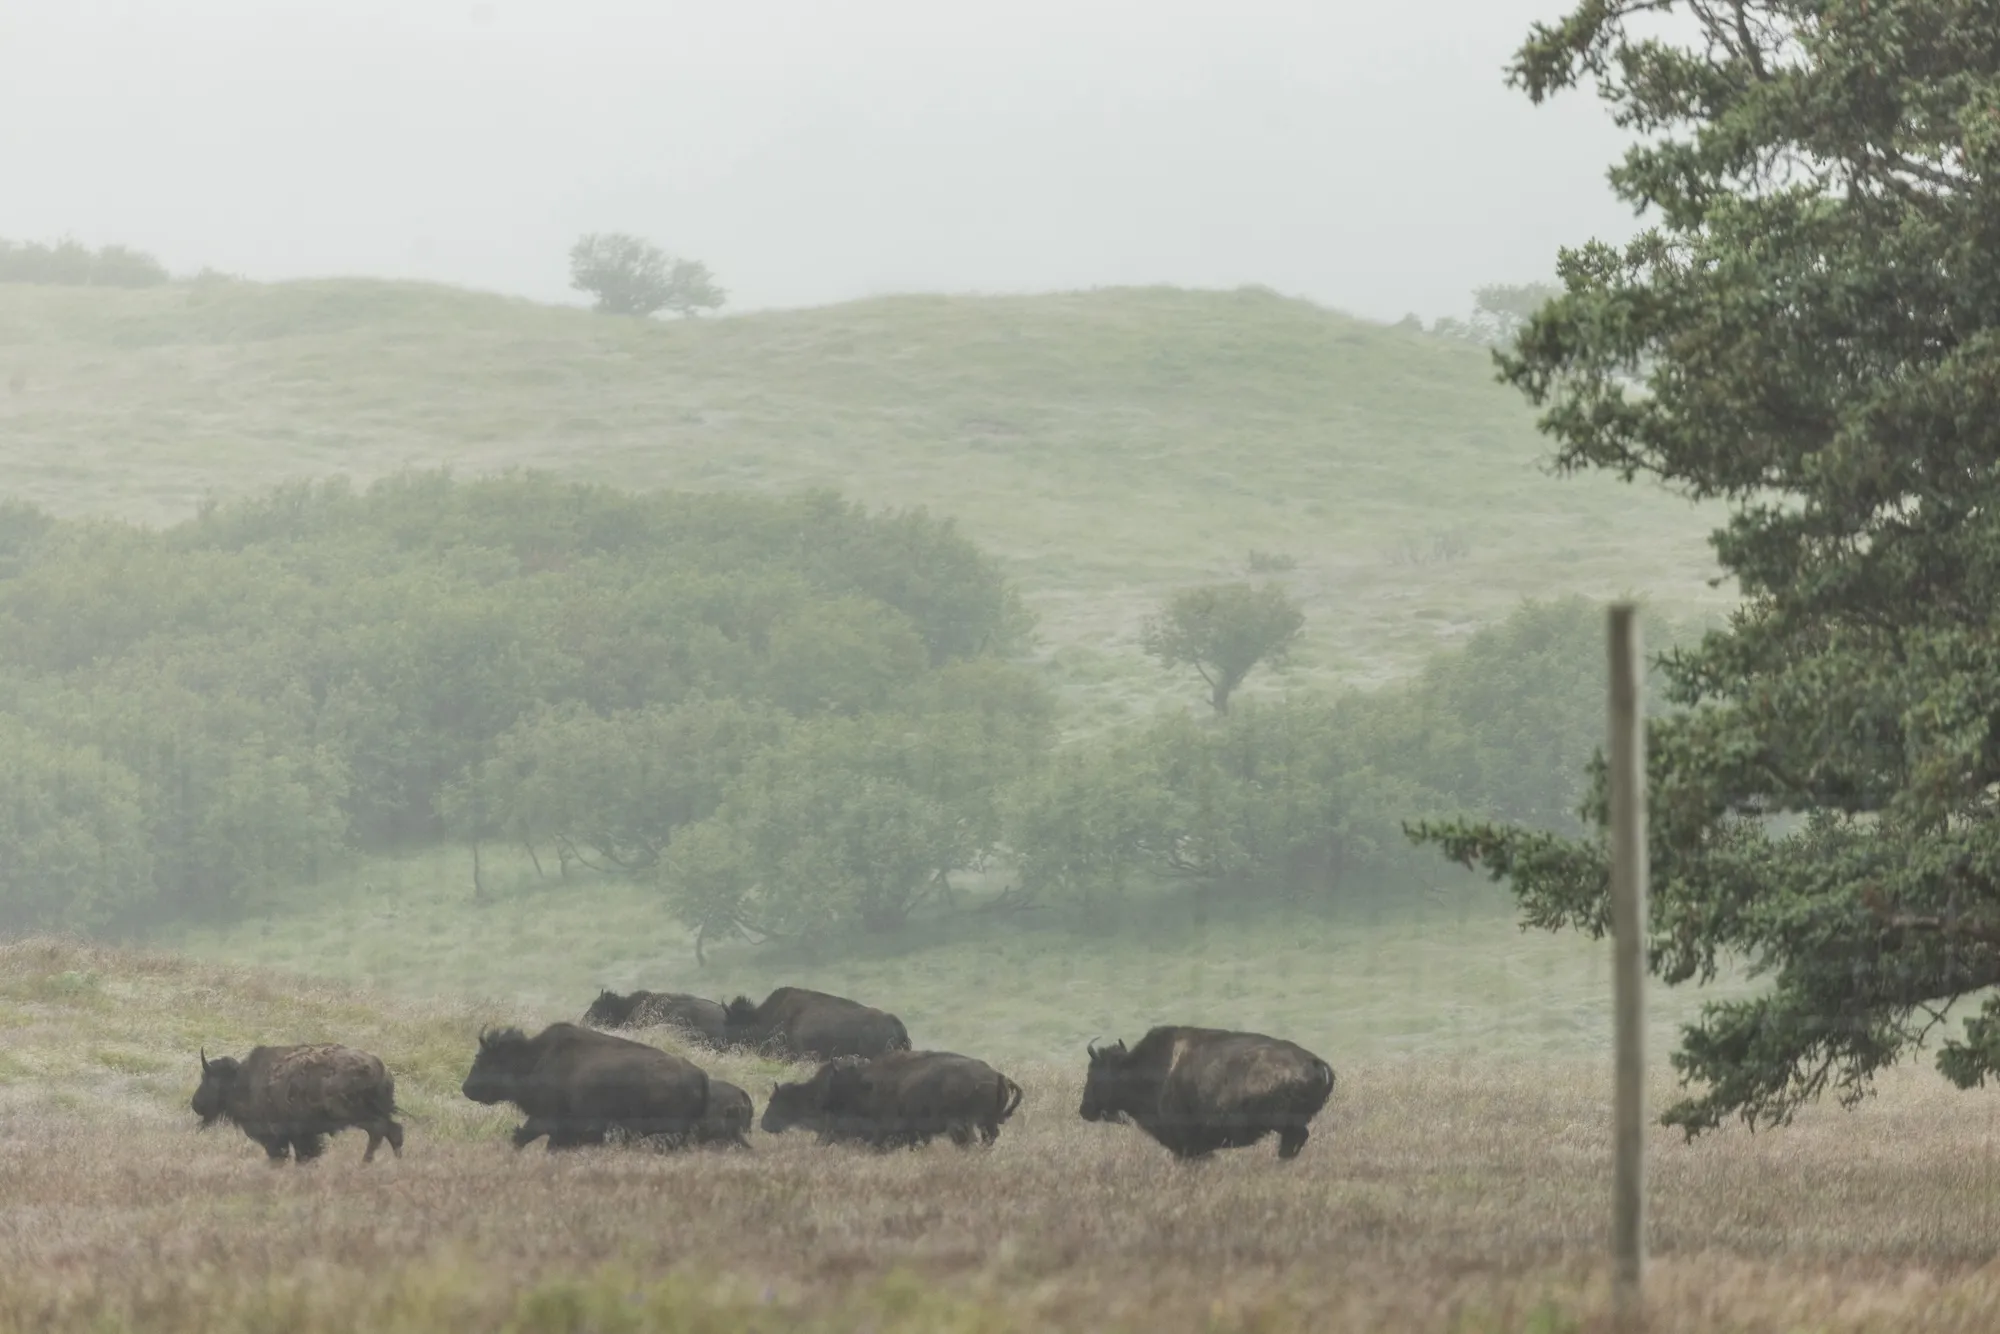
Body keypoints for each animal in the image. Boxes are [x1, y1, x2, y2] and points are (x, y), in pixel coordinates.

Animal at [191, 1043, 404, 1165]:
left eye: (208, 1078)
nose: (195, 1104)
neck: (243, 1081)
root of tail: (380, 1068)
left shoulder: (283, 1137)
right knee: (393, 1131)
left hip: (359, 1116)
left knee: (381, 1131)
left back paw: (366, 1163)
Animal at [461, 1022, 709, 1151]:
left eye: (483, 1060)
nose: (466, 1088)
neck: (534, 1059)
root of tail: (700, 1074)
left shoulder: (548, 1121)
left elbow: (523, 1137)